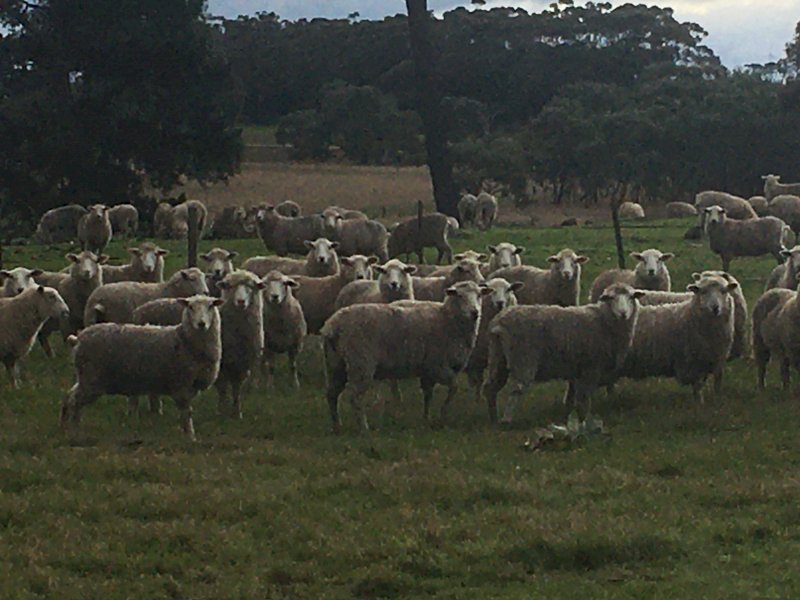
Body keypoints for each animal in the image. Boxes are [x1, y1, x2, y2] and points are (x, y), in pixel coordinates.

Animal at [61, 295, 224, 440]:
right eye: (190, 307)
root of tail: (78, 338)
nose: (201, 324)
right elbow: (186, 413)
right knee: (74, 401)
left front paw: (188, 436)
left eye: (211, 306)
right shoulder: (181, 385)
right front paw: (190, 438)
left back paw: (66, 426)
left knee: (69, 396)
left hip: (85, 376)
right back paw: (74, 430)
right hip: (92, 379)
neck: (184, 340)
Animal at [322, 281, 488, 432]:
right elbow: (454, 388)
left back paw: (337, 426)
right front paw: (442, 416)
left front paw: (426, 418)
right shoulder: (437, 365)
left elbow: (428, 395)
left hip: (336, 363)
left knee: (331, 394)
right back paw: (364, 428)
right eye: (459, 295)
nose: (475, 312)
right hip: (360, 363)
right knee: (355, 398)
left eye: (479, 295)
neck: (448, 320)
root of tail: (332, 325)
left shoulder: (427, 370)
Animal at [482, 283, 644, 424]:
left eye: (631, 297)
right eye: (611, 298)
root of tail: (498, 324)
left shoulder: (576, 369)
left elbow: (572, 395)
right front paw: (584, 420)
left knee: (490, 388)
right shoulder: (591, 368)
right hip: (523, 358)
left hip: (498, 358)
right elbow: (584, 399)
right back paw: (506, 421)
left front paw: (571, 413)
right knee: (516, 390)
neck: (604, 321)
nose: (623, 313)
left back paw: (493, 418)